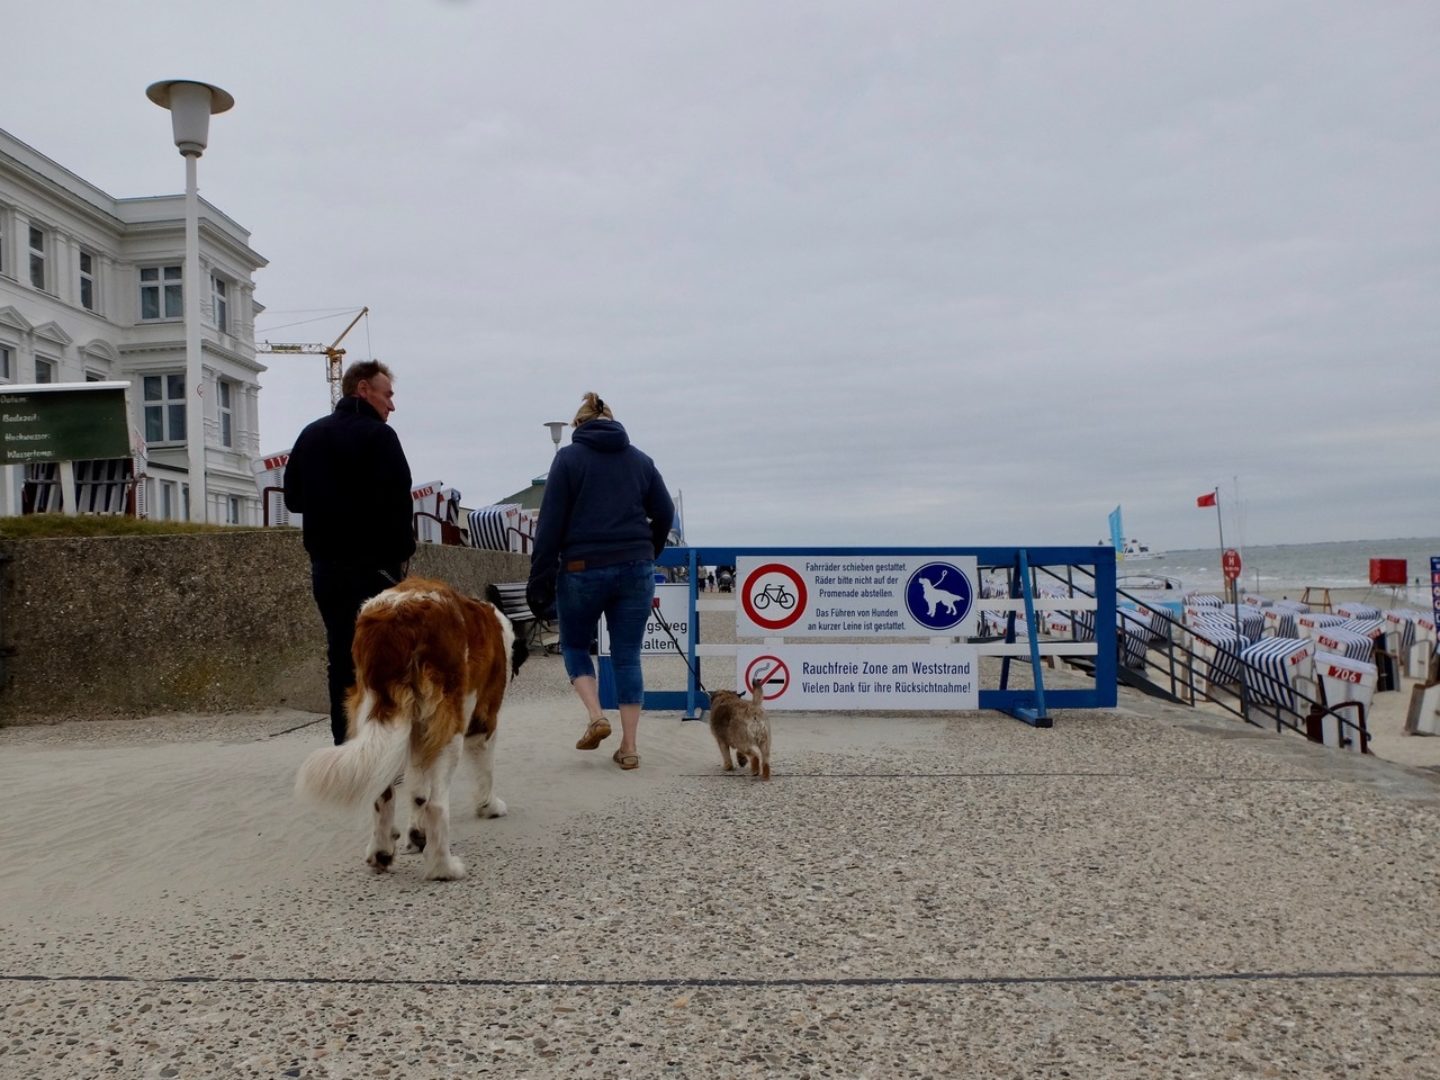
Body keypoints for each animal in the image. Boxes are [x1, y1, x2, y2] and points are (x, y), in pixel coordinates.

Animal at [293, 578, 524, 881]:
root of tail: (397, 615)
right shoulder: (484, 721)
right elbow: (485, 772)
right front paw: (490, 807)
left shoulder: (417, 733)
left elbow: (417, 791)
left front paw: (416, 834)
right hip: (449, 727)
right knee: (438, 804)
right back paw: (444, 868)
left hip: (377, 711)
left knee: (384, 792)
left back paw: (381, 852)